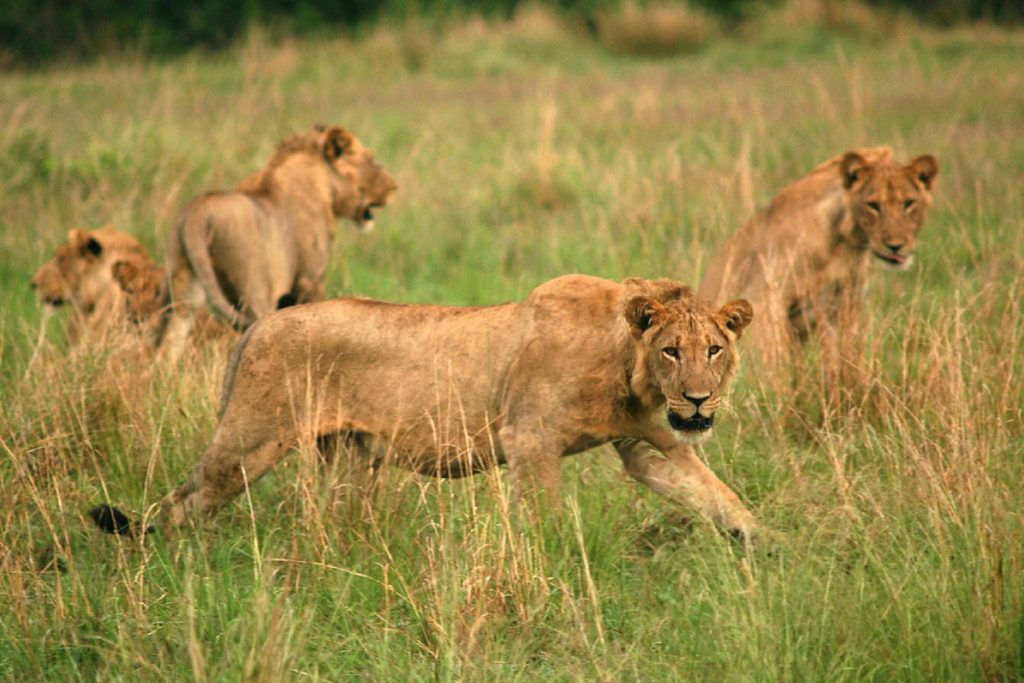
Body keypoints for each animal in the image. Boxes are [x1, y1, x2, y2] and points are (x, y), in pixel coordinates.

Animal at [90, 274, 761, 540]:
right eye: (672, 350)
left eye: (714, 349)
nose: (698, 398)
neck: (627, 364)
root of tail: (258, 325)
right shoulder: (529, 439)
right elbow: (544, 517)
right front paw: (556, 564)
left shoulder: (652, 442)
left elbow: (718, 495)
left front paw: (764, 548)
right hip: (249, 441)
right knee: (183, 500)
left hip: (349, 461)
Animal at [157, 126, 397, 366]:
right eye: (374, 161)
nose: (394, 187)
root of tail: (198, 212)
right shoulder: (310, 278)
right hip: (255, 288)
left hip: (183, 283)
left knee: (170, 337)